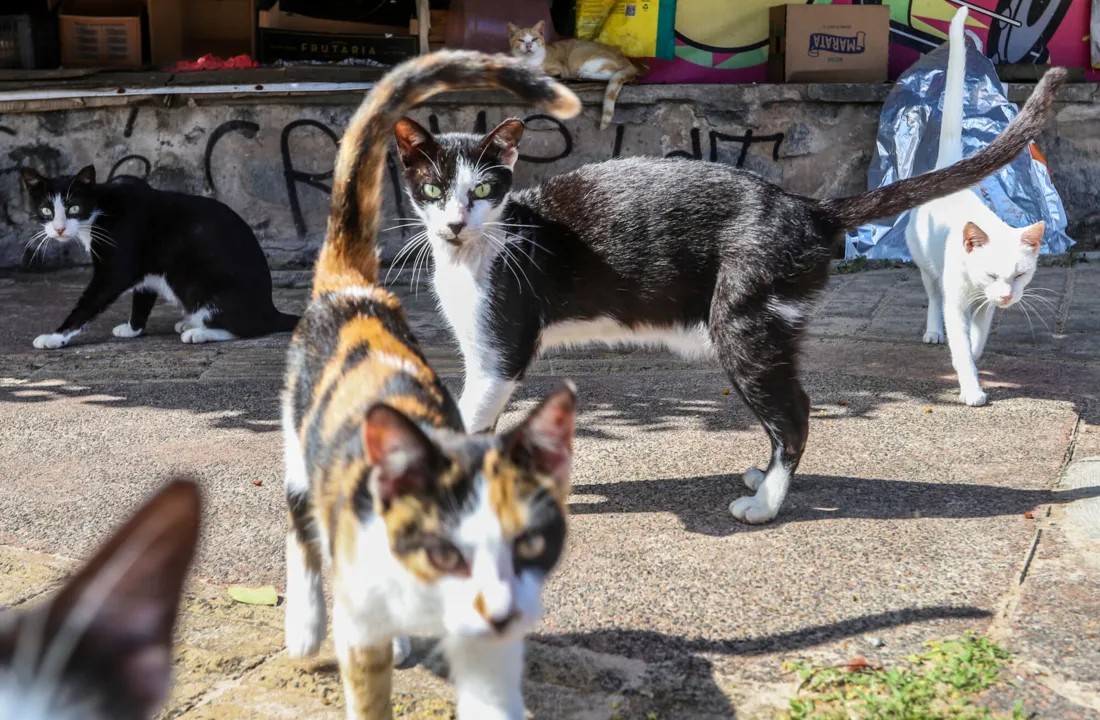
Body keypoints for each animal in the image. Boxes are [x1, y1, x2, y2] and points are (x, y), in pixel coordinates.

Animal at [19, 167, 299, 351]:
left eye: (73, 208)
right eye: (46, 210)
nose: (59, 229)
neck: (100, 209)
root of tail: (270, 309)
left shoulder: (117, 265)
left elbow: (89, 302)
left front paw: (55, 337)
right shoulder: (147, 267)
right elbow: (143, 294)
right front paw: (133, 328)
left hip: (195, 284)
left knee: (249, 329)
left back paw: (198, 333)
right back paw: (189, 323)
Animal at [283, 52, 585, 720]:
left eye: (527, 545)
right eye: (433, 191)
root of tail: (352, 287)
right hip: (295, 437)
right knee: (300, 518)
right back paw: (305, 624)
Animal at [503, 19, 638, 129]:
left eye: (534, 39)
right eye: (520, 40)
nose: (528, 45)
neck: (528, 61)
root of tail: (628, 60)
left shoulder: (557, 69)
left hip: (581, 57)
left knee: (610, 73)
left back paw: (584, 74)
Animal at [906, 5, 1042, 408]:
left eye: (1020, 275)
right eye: (992, 274)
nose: (1008, 296)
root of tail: (948, 168)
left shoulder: (985, 306)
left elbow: (977, 337)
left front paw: (977, 353)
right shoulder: (958, 302)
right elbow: (960, 343)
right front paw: (970, 386)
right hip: (925, 263)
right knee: (932, 295)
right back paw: (933, 331)